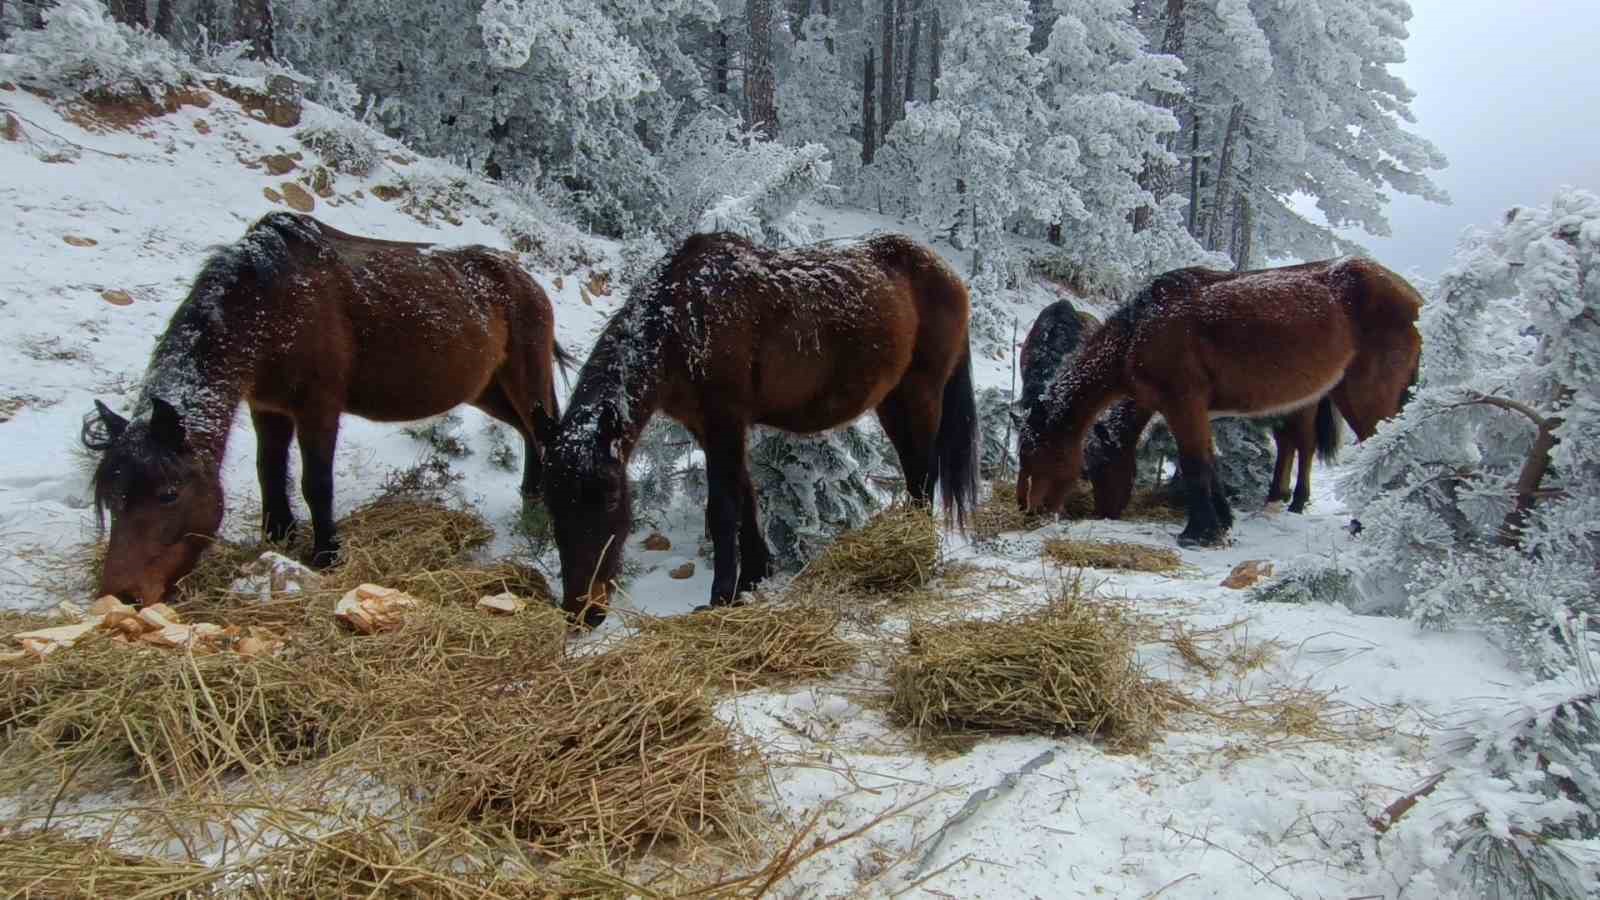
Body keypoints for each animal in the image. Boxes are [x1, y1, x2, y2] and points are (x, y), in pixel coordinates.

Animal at [81, 211, 572, 602]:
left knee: (542, 429)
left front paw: (326, 554)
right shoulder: (268, 408)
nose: (121, 594)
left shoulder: (318, 409)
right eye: (111, 499)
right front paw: (278, 536)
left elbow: (316, 484)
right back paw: (531, 498)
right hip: (485, 389)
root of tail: (528, 281)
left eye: (169, 494)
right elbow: (269, 473)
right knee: (528, 432)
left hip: (523, 375)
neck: (270, 305)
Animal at [537, 229, 979, 624]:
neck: (684, 316)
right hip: (892, 401)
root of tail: (950, 275)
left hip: (921, 394)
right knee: (913, 468)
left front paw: (721, 596)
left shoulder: (725, 421)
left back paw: (917, 552)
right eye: (553, 505)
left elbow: (722, 508)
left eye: (611, 501)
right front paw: (753, 577)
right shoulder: (708, 426)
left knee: (924, 472)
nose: (582, 612)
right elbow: (745, 496)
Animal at [1017, 256, 1420, 544]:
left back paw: (1359, 524)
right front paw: (1222, 523)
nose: (1031, 511)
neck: (1140, 330)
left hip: (1362, 398)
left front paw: (1199, 534)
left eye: (1041, 455)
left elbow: (1195, 464)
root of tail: (1410, 294)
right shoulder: (1194, 411)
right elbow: (1210, 464)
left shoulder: (1182, 403)